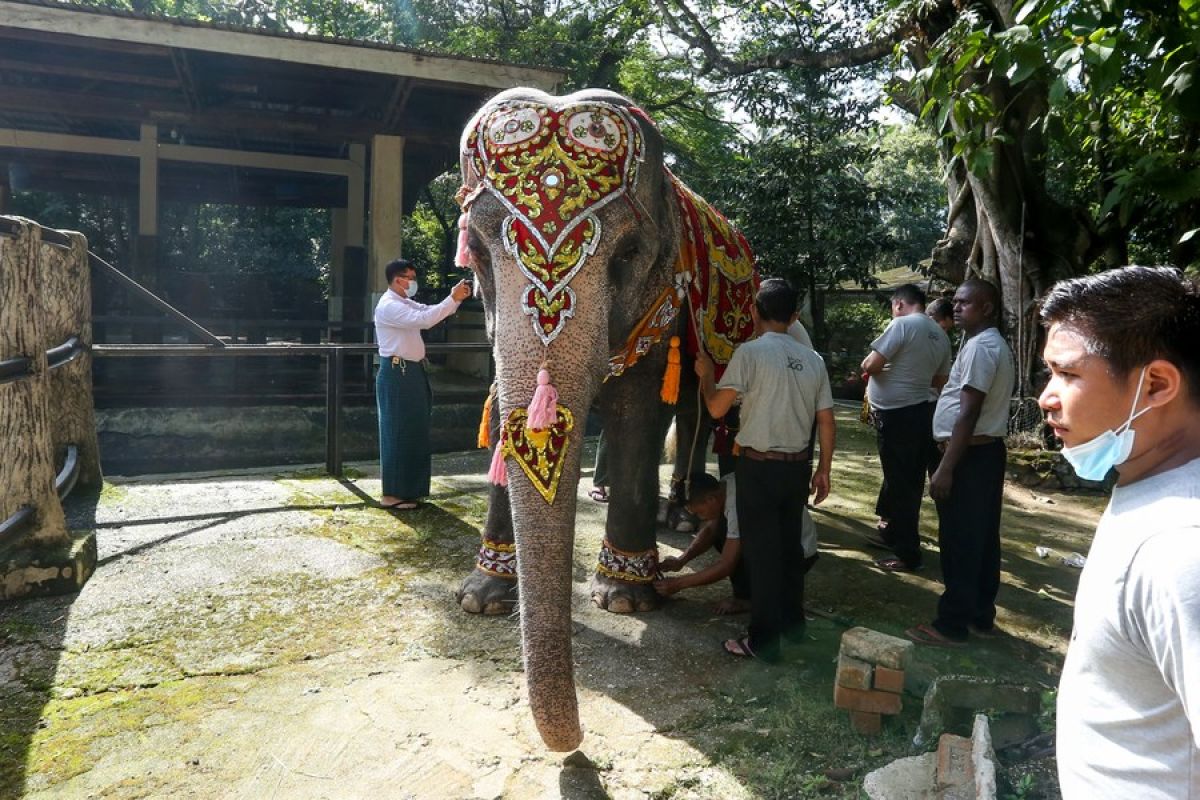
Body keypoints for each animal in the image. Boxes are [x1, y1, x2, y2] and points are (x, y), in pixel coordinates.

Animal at [453, 90, 753, 753]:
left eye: (630, 254)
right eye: (477, 254)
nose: (577, 743)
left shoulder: (662, 305)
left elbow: (641, 411)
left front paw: (624, 601)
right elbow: (500, 404)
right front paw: (481, 599)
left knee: (693, 408)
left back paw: (678, 513)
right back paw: (607, 490)